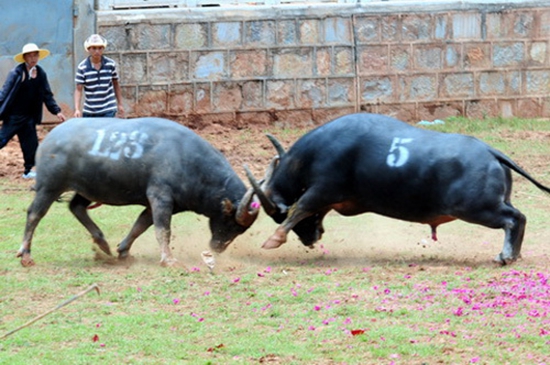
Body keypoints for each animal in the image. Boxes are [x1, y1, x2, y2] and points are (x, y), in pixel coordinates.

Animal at [16, 118, 258, 266]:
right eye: (228, 222)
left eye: (241, 230)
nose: (217, 248)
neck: (187, 160)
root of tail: (50, 137)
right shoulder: (160, 198)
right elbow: (162, 230)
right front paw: (168, 260)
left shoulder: (155, 204)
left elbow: (140, 225)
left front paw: (123, 250)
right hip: (49, 186)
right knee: (34, 213)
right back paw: (25, 253)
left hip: (86, 188)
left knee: (75, 207)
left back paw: (102, 242)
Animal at [248, 112, 550, 264]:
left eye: (276, 214)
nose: (310, 239)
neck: (316, 152)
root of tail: (491, 151)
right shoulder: (330, 197)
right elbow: (313, 210)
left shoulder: (322, 189)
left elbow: (301, 207)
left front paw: (273, 239)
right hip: (494, 203)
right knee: (519, 217)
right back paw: (513, 254)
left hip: (478, 208)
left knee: (515, 219)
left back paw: (506, 255)